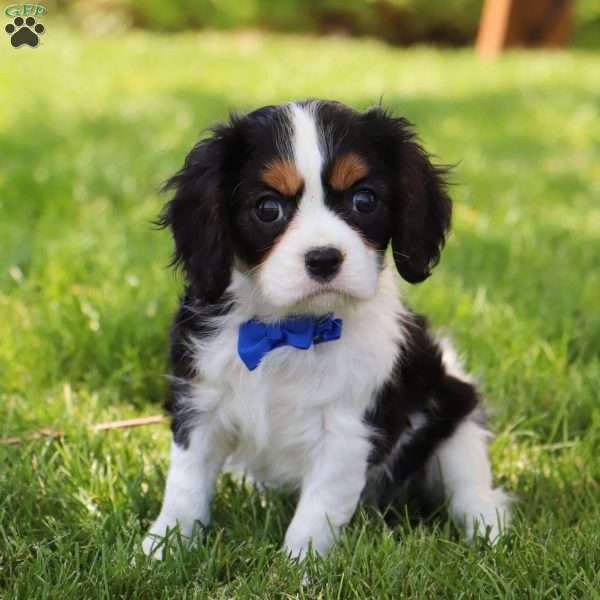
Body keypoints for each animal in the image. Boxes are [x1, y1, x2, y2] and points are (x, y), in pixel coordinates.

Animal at [144, 99, 510, 556]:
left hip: (455, 413)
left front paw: (297, 567)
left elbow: (315, 516)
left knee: (471, 487)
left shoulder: (346, 434)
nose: (324, 259)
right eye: (268, 208)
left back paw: (487, 528)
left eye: (364, 200)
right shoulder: (200, 404)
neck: (289, 330)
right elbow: (186, 485)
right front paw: (162, 549)